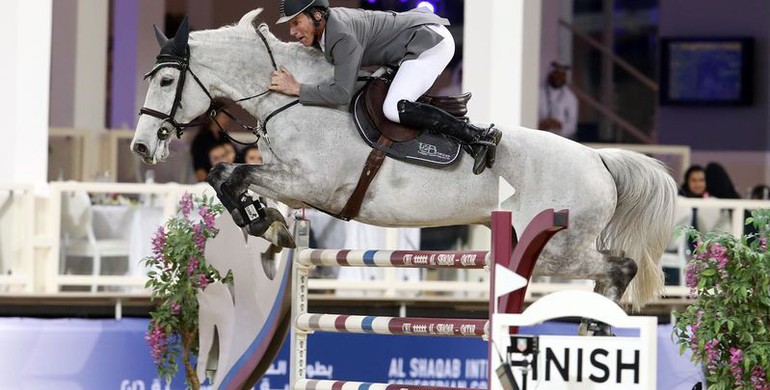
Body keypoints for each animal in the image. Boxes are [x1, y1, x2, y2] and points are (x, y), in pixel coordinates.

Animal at [130, 8, 672, 314]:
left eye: (165, 81)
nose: (141, 148)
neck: (293, 99)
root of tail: (598, 159)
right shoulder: (291, 180)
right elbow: (229, 177)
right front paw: (270, 225)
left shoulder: (310, 183)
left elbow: (231, 173)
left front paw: (267, 225)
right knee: (609, 273)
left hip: (553, 247)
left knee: (619, 268)